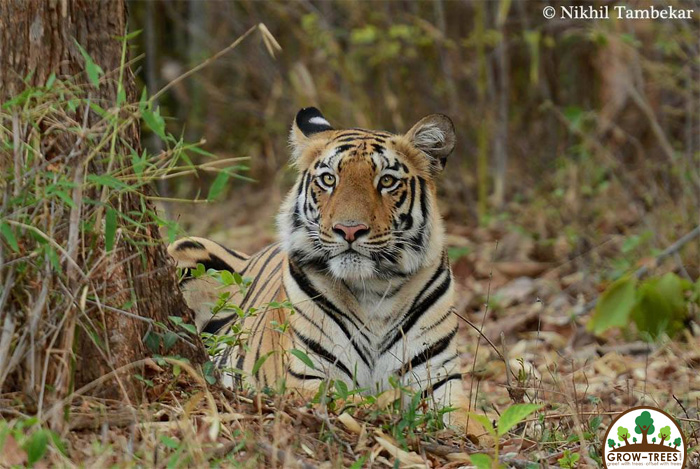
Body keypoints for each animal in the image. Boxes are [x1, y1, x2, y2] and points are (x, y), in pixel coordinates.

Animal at [168, 108, 485, 441]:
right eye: (329, 179)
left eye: (386, 181)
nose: (349, 230)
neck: (374, 287)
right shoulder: (308, 376)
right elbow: (362, 403)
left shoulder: (439, 383)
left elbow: (478, 423)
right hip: (187, 249)